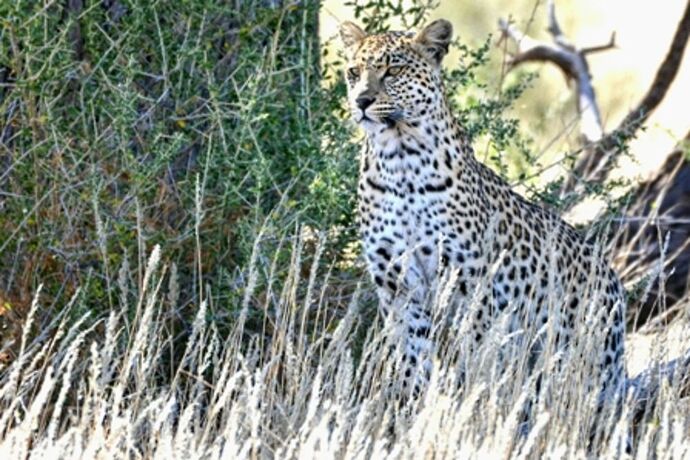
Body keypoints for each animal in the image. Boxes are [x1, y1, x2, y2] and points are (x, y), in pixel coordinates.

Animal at [338, 17, 624, 406]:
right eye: (353, 72)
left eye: (393, 70)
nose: (361, 101)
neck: (399, 160)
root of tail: (611, 275)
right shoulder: (395, 282)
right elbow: (411, 355)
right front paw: (418, 406)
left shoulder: (470, 282)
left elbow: (470, 353)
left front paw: (462, 402)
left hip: (588, 355)